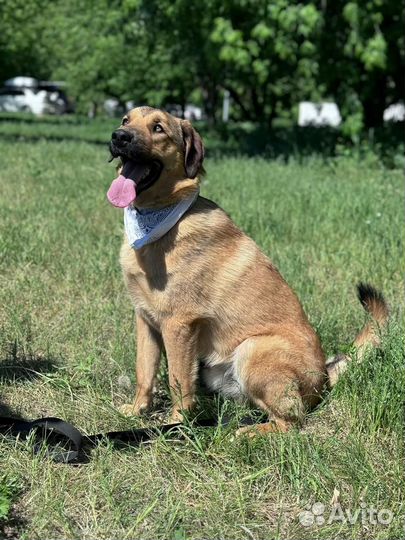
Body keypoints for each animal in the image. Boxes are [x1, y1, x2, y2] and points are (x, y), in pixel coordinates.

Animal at [106, 106, 388, 434]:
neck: (158, 222)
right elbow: (145, 371)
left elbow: (179, 382)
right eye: (126, 120)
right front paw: (138, 411)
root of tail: (324, 380)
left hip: (252, 350)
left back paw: (245, 434)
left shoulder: (178, 324)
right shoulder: (146, 320)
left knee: (290, 421)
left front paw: (176, 426)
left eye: (159, 128)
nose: (119, 137)